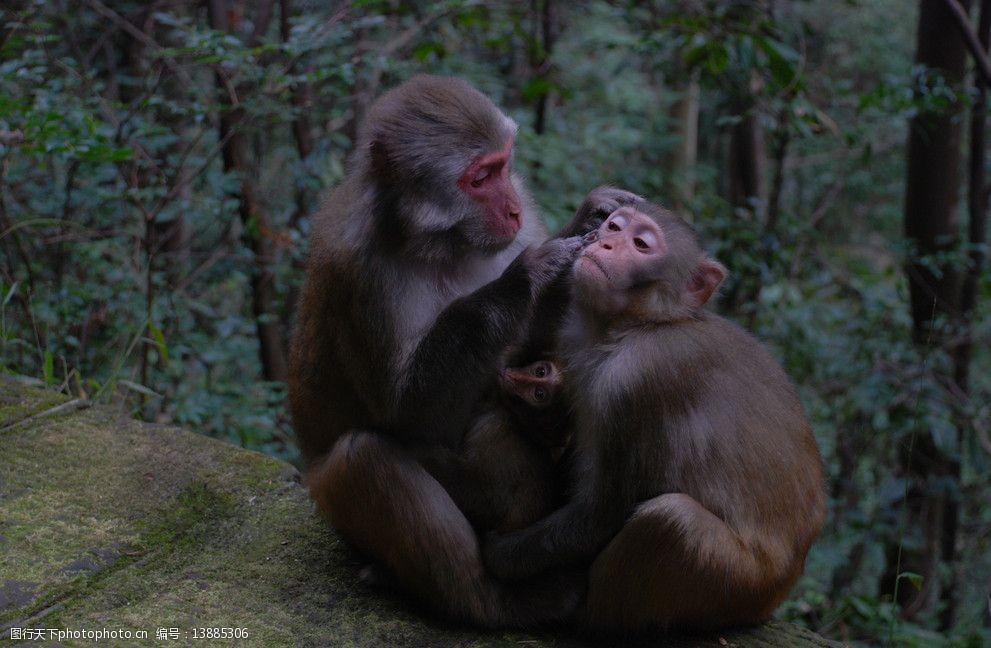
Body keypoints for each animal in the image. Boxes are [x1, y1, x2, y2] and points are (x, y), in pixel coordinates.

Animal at [288, 73, 644, 624]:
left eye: (503, 166)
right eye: (479, 179)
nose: (513, 209)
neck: (440, 243)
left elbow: (530, 354)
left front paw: (592, 215)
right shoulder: (362, 270)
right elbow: (408, 414)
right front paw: (526, 275)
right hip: (336, 510)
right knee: (362, 459)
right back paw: (492, 601)